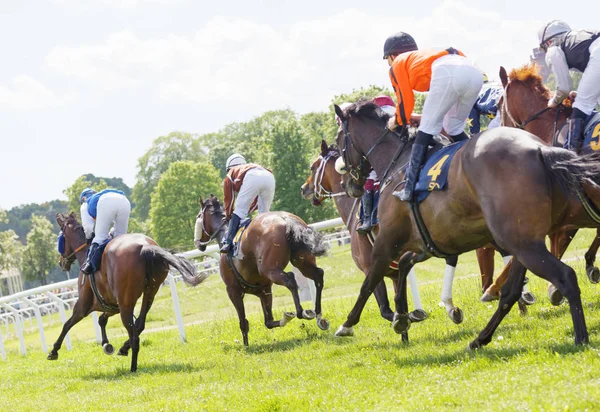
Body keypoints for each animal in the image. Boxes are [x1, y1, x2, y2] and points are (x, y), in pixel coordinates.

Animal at [49, 214, 204, 372]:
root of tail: (145, 246)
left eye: (60, 238)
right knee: (139, 325)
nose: (61, 262)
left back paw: (133, 368)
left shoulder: (83, 306)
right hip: (148, 293)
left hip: (126, 302)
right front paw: (107, 344)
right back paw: (124, 349)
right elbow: (102, 319)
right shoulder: (112, 305)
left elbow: (67, 324)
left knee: (134, 335)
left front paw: (54, 351)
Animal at [195, 196, 328, 344]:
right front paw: (285, 318)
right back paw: (318, 315)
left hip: (269, 269)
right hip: (302, 261)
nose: (199, 244)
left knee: (290, 279)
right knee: (318, 275)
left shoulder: (232, 290)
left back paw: (301, 312)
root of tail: (286, 219)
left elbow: (243, 322)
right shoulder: (264, 289)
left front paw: (246, 346)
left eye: (198, 216)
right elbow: (268, 322)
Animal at [332, 100, 600, 348]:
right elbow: (405, 264)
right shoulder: (430, 242)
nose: (349, 185)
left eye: (339, 139)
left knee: (564, 276)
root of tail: (539, 148)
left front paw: (347, 324)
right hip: (523, 243)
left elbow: (369, 282)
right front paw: (402, 316)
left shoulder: (387, 241)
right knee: (511, 292)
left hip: (524, 244)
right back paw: (480, 339)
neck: (400, 164)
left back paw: (580, 337)